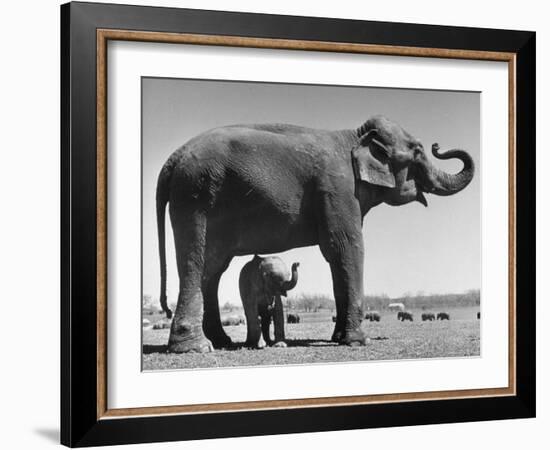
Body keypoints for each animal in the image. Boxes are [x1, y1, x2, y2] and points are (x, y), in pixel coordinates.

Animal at [157, 115, 476, 352]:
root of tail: (173, 158)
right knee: (196, 263)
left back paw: (221, 342)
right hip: (195, 198)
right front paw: (358, 341)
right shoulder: (338, 189)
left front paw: (339, 339)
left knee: (213, 269)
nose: (437, 145)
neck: (354, 136)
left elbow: (336, 257)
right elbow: (347, 247)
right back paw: (197, 348)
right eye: (418, 151)